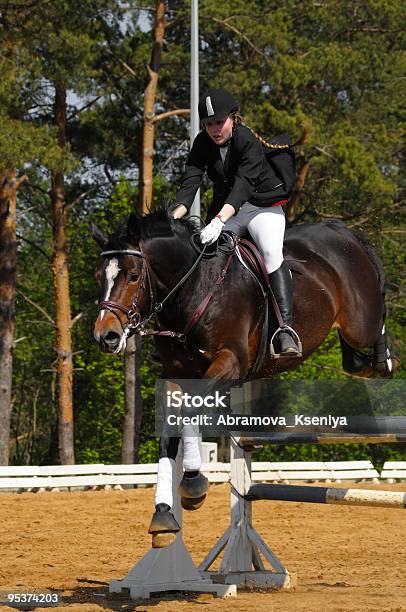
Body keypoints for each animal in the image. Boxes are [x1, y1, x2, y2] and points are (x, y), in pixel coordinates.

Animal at [91, 209, 396, 544]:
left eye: (133, 276)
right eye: (98, 277)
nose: (106, 337)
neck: (194, 287)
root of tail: (341, 231)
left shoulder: (230, 363)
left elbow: (190, 412)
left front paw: (193, 485)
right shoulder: (175, 374)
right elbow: (171, 429)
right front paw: (163, 515)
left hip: (359, 320)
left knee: (377, 315)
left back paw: (386, 360)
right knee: (354, 361)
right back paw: (366, 363)